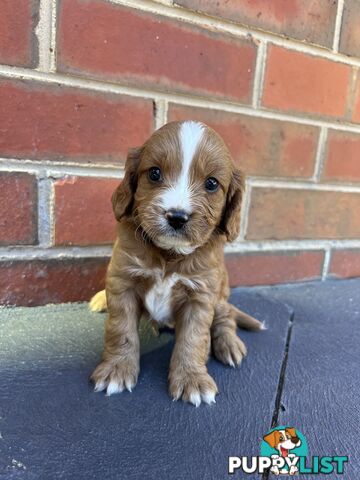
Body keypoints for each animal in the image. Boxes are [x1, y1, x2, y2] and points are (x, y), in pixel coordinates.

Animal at [90, 120, 262, 404]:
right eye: (154, 174)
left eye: (212, 183)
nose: (177, 217)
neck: (170, 254)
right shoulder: (122, 279)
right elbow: (121, 329)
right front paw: (117, 369)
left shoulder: (201, 295)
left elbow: (193, 339)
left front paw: (192, 379)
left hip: (221, 294)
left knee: (226, 317)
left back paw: (229, 345)